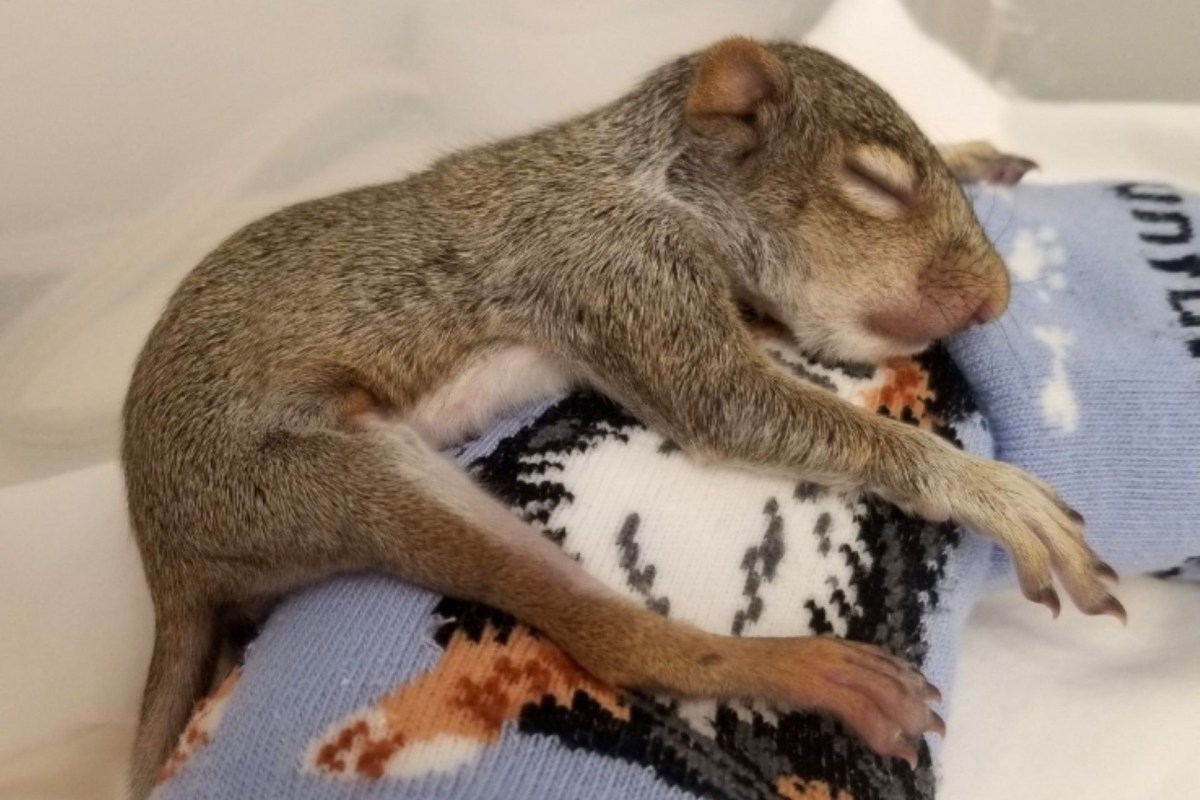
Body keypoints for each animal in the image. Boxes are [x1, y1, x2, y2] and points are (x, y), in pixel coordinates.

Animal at [121, 37, 1121, 797]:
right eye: (874, 184)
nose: (997, 299)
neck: (651, 177)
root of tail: (164, 556)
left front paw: (978, 153)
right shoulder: (619, 267)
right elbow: (727, 403)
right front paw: (991, 491)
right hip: (314, 479)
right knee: (612, 637)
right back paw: (809, 672)